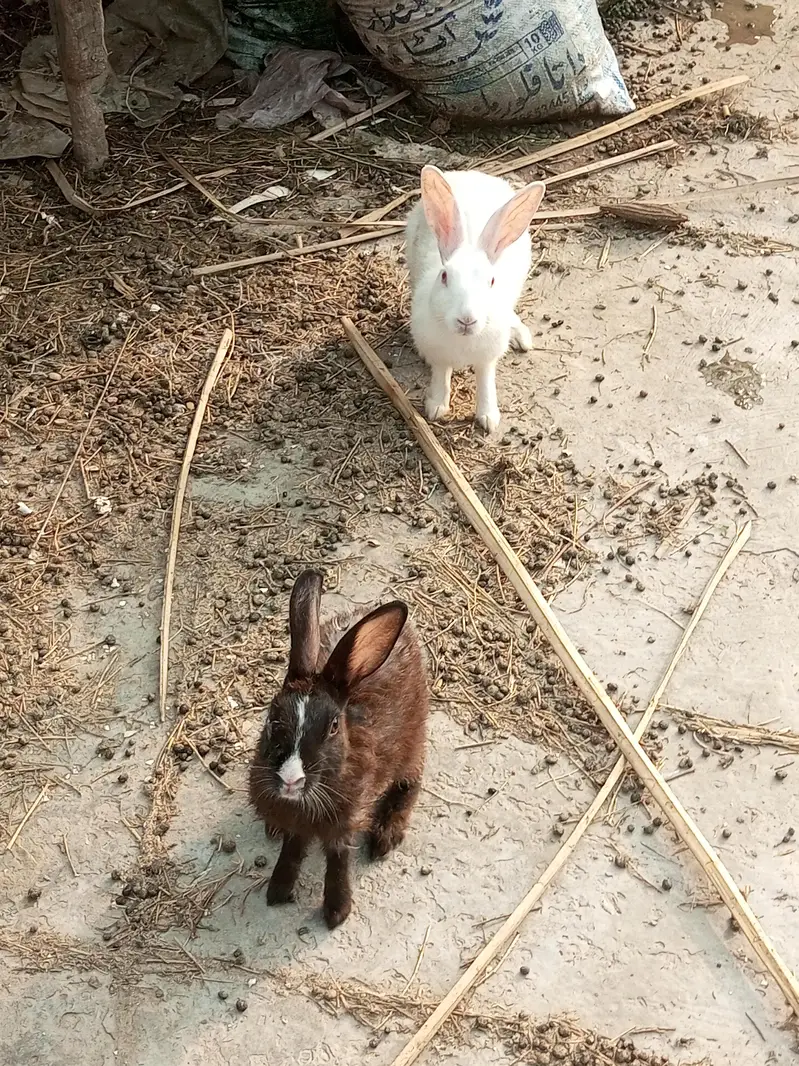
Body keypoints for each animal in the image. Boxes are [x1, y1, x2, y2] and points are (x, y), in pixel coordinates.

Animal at [249, 569, 429, 929]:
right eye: (272, 717)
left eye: (333, 726)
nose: (290, 779)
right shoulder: (297, 826)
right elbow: (292, 847)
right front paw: (278, 890)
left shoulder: (344, 822)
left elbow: (338, 859)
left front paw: (336, 913)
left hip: (413, 738)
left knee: (411, 779)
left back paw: (385, 836)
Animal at [405, 165, 546, 434]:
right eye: (444, 276)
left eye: (491, 281)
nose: (466, 319)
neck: (463, 340)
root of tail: (473, 174)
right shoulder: (439, 356)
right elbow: (441, 377)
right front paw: (436, 408)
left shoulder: (487, 358)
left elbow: (485, 381)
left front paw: (489, 419)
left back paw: (521, 338)